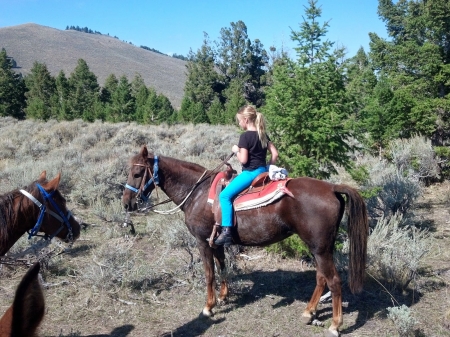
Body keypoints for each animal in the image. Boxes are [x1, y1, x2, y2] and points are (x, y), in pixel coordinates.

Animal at [121, 145, 368, 336]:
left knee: (333, 281)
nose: (127, 203)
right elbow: (222, 267)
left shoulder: (202, 242)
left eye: (137, 173)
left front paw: (208, 307)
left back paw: (335, 325)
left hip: (320, 248)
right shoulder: (216, 241)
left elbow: (209, 274)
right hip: (321, 247)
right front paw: (223, 297)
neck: (197, 192)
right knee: (321, 278)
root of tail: (332, 188)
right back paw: (308, 312)